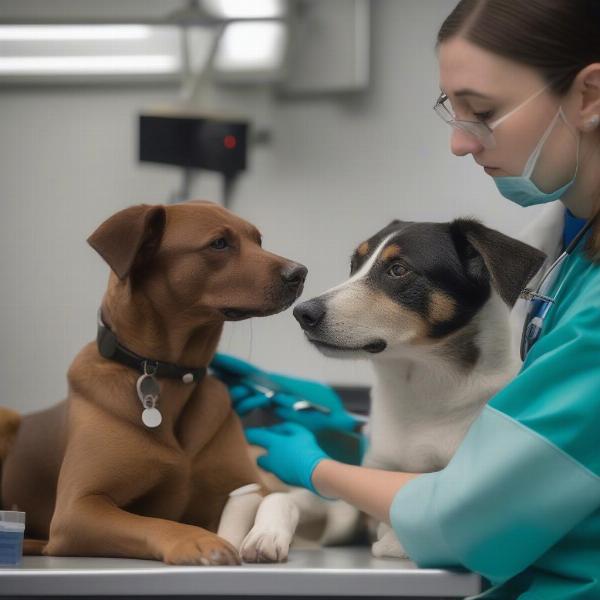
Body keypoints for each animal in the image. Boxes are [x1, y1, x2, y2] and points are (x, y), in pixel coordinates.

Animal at [0, 199, 308, 564]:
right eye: (219, 243)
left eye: (258, 240)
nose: (300, 272)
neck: (169, 374)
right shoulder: (77, 507)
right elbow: (152, 522)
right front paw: (198, 541)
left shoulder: (243, 486)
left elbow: (276, 496)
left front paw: (266, 535)